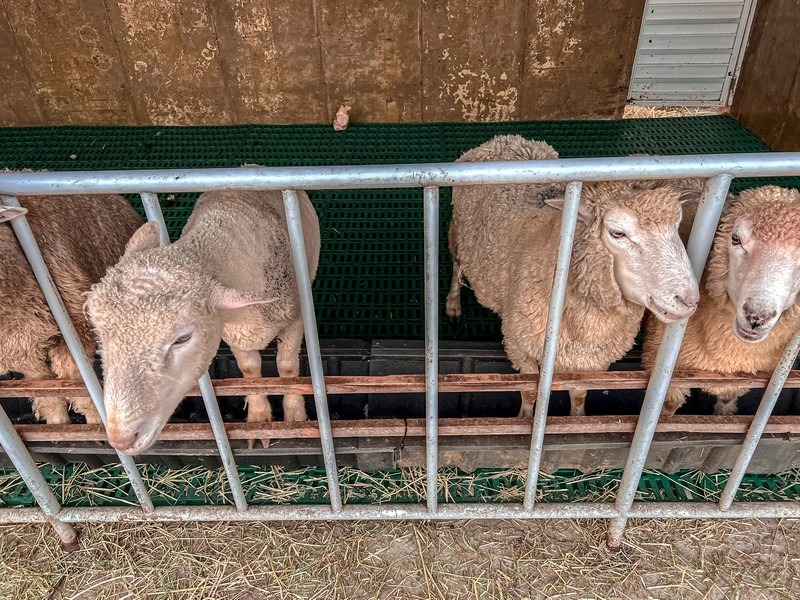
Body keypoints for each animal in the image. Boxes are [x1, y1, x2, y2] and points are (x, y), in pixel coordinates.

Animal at [0, 195, 142, 424]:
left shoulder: (75, 329)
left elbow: (83, 393)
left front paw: (96, 426)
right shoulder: (22, 351)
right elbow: (50, 397)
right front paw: (59, 425)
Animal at [86, 190, 320, 452]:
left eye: (183, 338)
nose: (120, 440)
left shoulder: (295, 319)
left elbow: (288, 368)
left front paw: (295, 417)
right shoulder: (233, 332)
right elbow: (250, 371)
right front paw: (258, 419)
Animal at [446, 136, 704, 418]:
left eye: (677, 226)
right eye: (618, 233)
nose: (688, 300)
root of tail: (503, 140)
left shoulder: (593, 359)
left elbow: (579, 392)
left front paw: (577, 418)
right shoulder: (519, 345)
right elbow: (528, 392)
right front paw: (524, 419)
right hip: (457, 232)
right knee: (457, 268)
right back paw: (453, 305)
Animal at [640, 185, 800, 414]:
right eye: (735, 239)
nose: (757, 316)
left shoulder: (736, 379)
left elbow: (726, 403)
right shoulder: (666, 370)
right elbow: (665, 406)